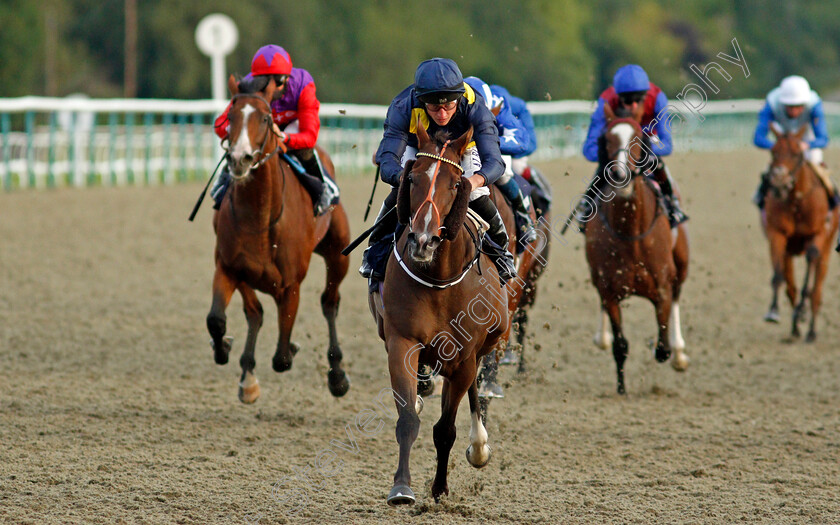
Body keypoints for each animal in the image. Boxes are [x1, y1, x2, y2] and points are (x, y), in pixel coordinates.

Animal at [207, 74, 352, 402]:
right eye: (230, 117)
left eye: (264, 118)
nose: (239, 159)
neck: (259, 217)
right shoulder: (229, 267)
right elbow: (219, 319)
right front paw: (226, 350)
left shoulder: (290, 284)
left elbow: (282, 356)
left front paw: (294, 348)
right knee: (255, 314)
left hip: (338, 254)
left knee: (330, 303)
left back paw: (337, 374)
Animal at [370, 123, 508, 504]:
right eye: (412, 178)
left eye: (454, 184)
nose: (423, 240)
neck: (439, 279)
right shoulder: (403, 342)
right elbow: (407, 420)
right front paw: (401, 488)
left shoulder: (463, 356)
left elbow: (445, 429)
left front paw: (440, 488)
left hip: (479, 348)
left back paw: (479, 445)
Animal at [584, 103, 688, 392]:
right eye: (606, 139)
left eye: (637, 139)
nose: (620, 174)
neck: (630, 233)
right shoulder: (609, 289)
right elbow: (620, 345)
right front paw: (621, 387)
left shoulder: (662, 286)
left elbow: (662, 345)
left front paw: (665, 347)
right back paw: (602, 337)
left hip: (682, 264)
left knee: (678, 296)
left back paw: (679, 353)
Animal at [764, 126, 836, 340]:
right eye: (773, 151)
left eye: (797, 154)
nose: (779, 183)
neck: (797, 201)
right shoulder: (777, 234)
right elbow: (778, 276)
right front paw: (773, 310)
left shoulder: (818, 234)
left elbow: (809, 282)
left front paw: (803, 310)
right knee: (791, 287)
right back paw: (795, 326)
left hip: (827, 249)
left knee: (817, 290)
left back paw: (811, 330)